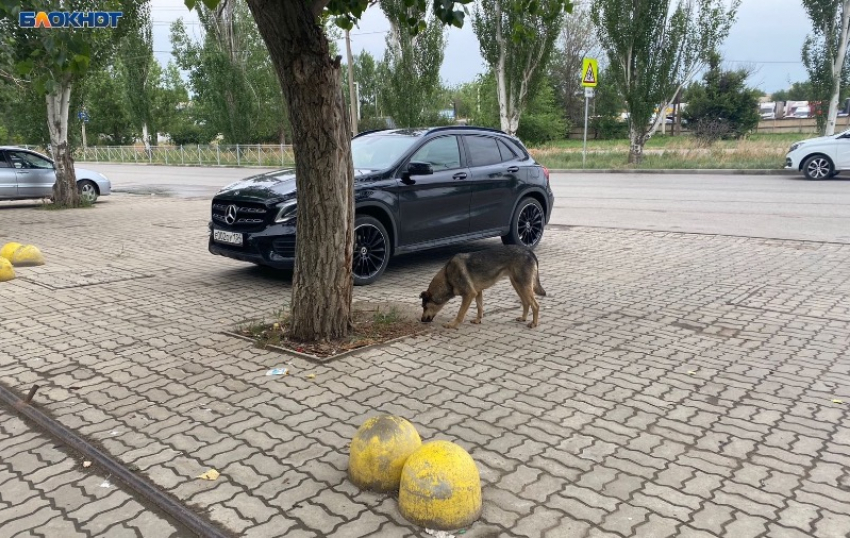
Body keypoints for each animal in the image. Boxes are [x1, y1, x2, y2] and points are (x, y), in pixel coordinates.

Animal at [416, 244, 544, 326]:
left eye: (425, 307)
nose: (422, 320)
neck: (448, 277)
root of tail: (528, 250)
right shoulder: (477, 292)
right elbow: (480, 307)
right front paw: (478, 321)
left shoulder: (469, 294)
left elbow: (460, 313)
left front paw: (453, 324)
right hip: (518, 285)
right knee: (526, 303)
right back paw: (523, 318)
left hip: (523, 286)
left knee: (535, 305)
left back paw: (534, 323)